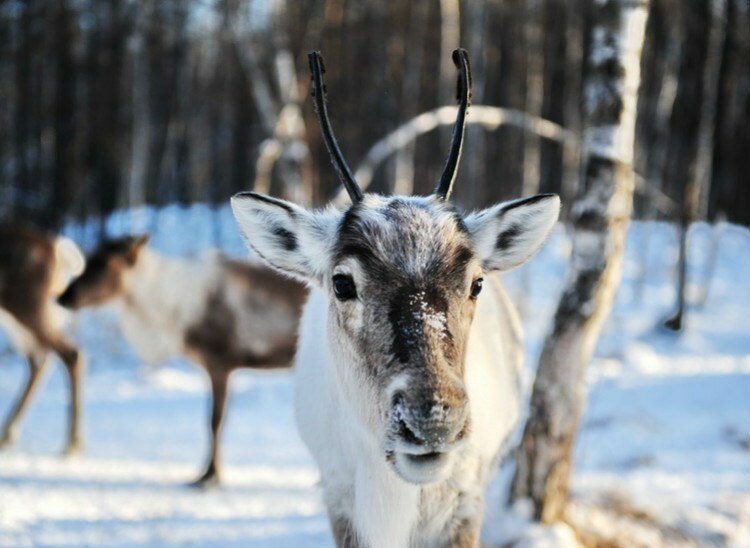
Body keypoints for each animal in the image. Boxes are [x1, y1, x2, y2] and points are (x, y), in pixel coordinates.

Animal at [232, 49, 560, 544]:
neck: (392, 491)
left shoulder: (466, 501)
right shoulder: (340, 496)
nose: (434, 419)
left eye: (476, 283)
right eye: (342, 282)